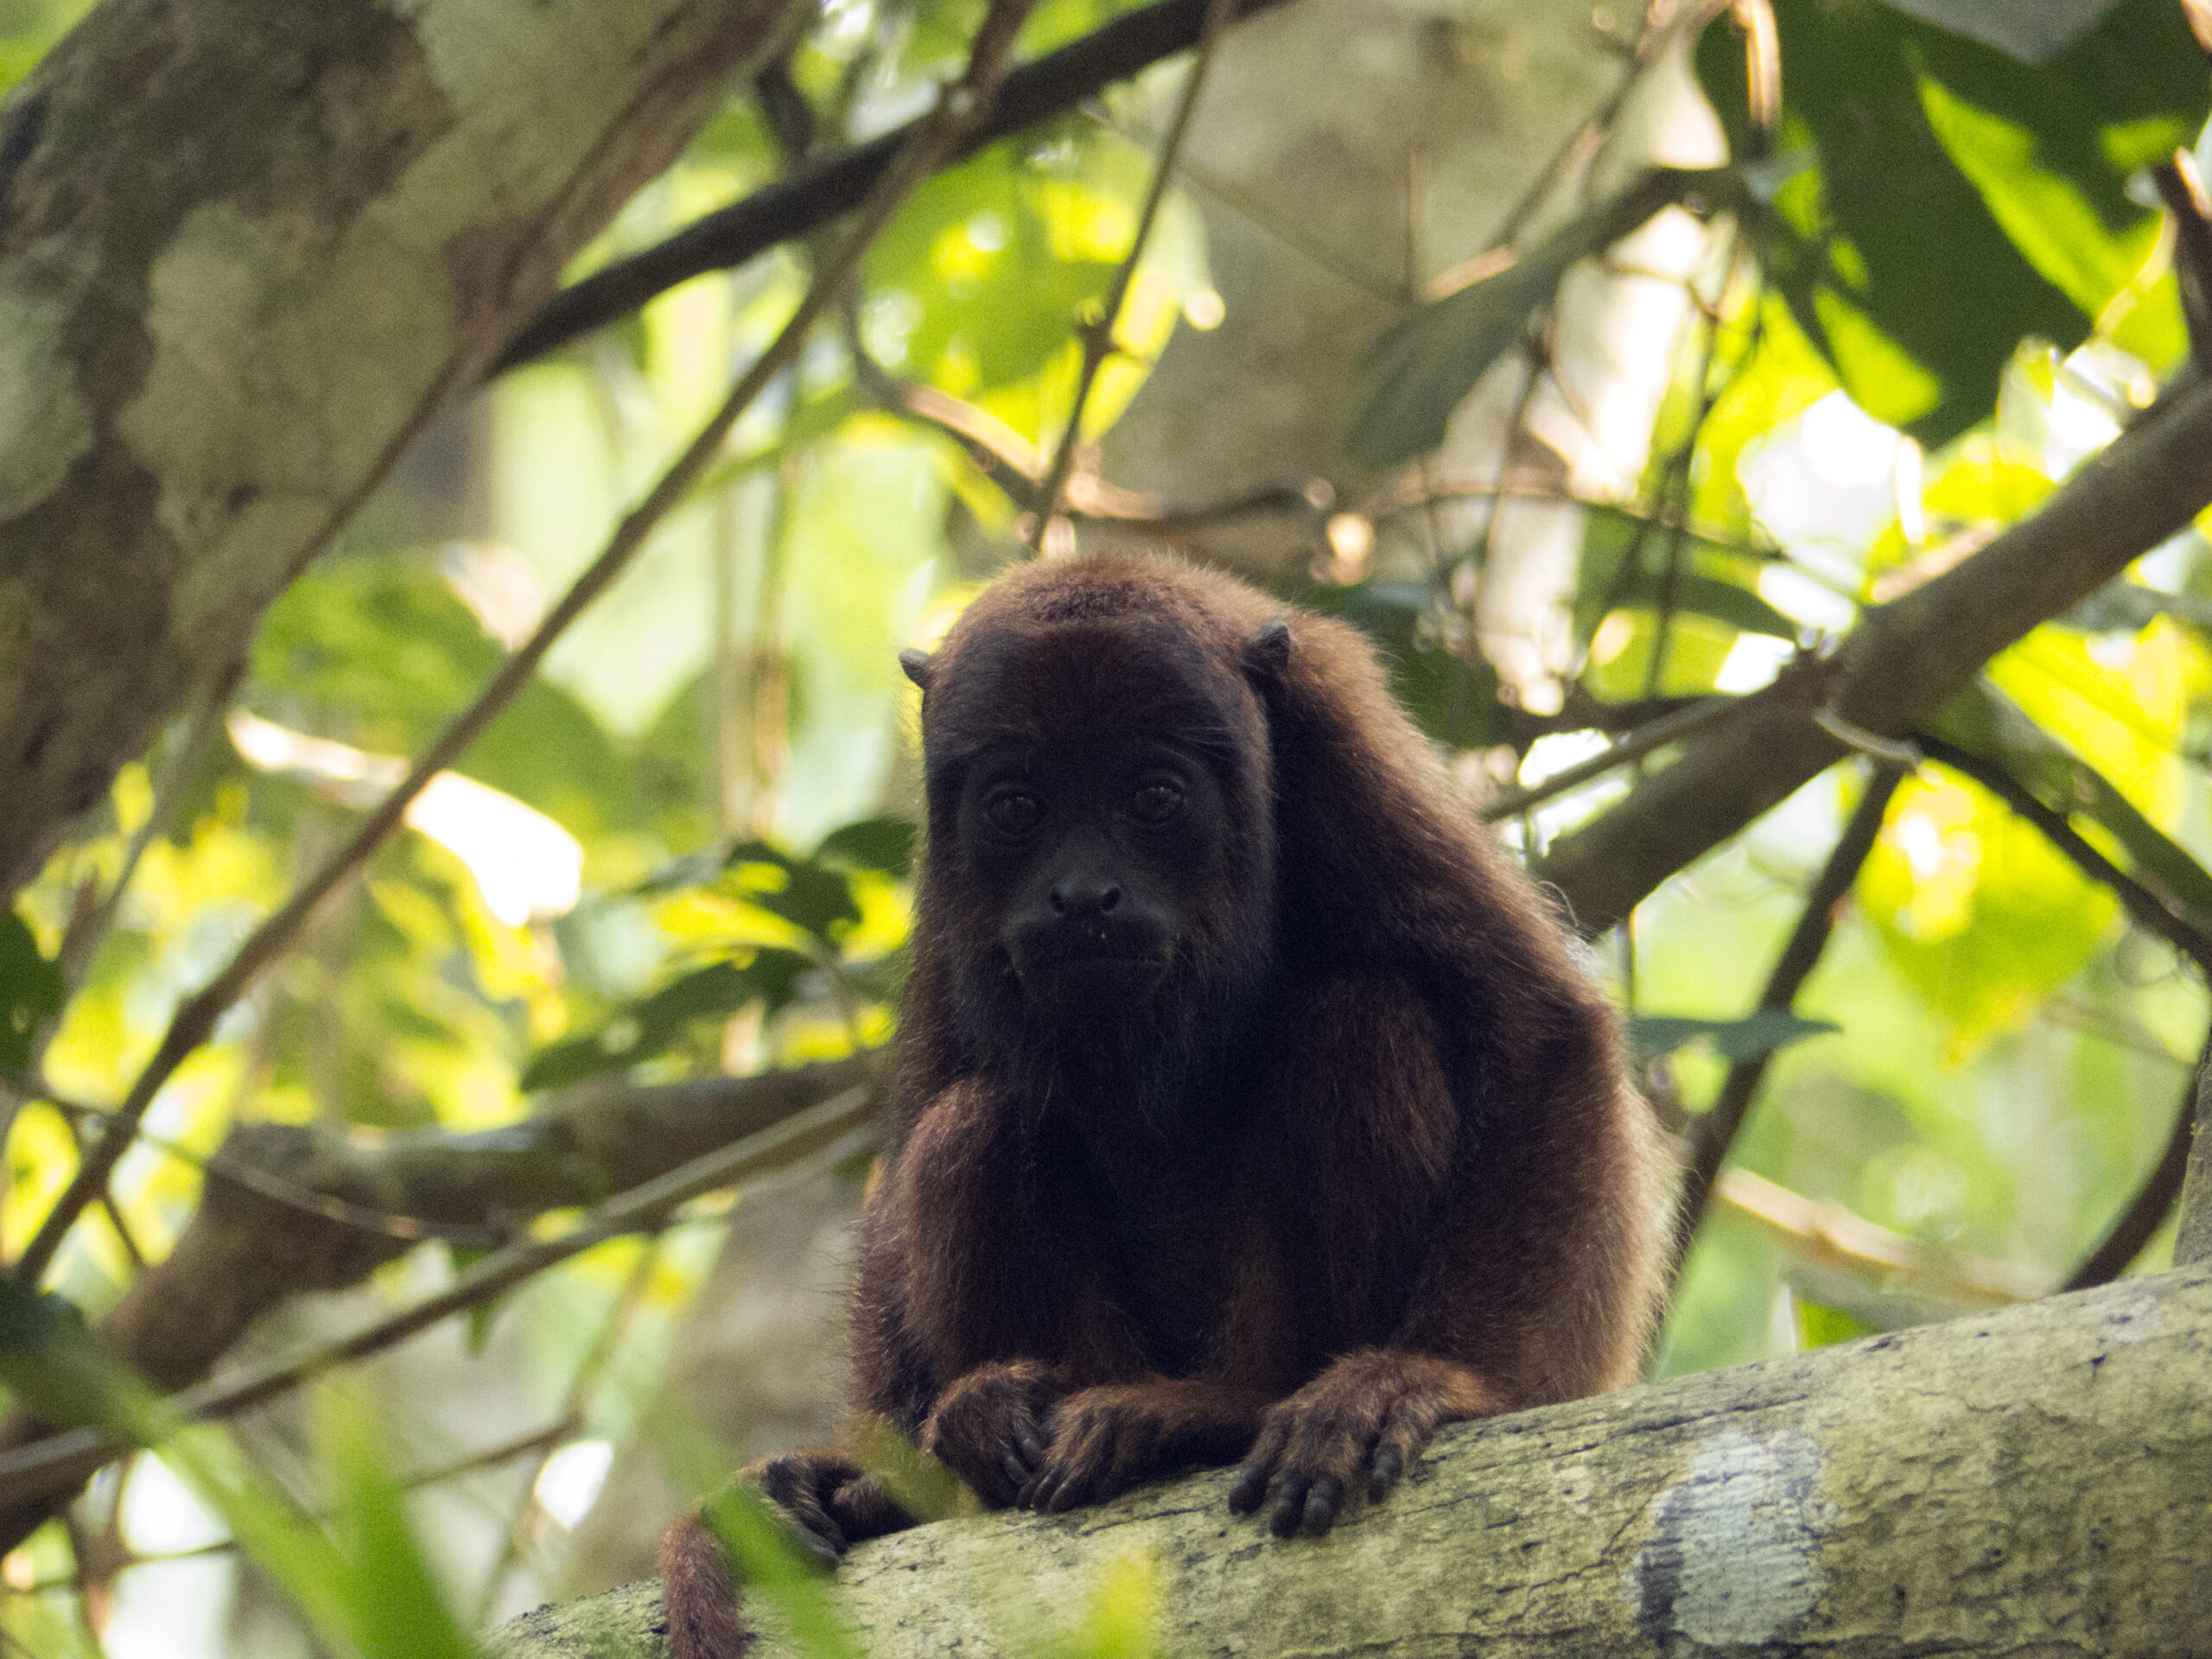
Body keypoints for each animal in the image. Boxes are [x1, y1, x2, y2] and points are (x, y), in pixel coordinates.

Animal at [660, 555, 1663, 1655]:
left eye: (1152, 797)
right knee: (973, 1124)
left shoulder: (1339, 747)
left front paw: (1431, 1382)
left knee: (1363, 1019)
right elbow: (925, 1110)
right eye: (1016, 805)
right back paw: (999, 1422)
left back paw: (1212, 1413)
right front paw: (880, 1480)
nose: (1081, 896)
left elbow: (1536, 1032)